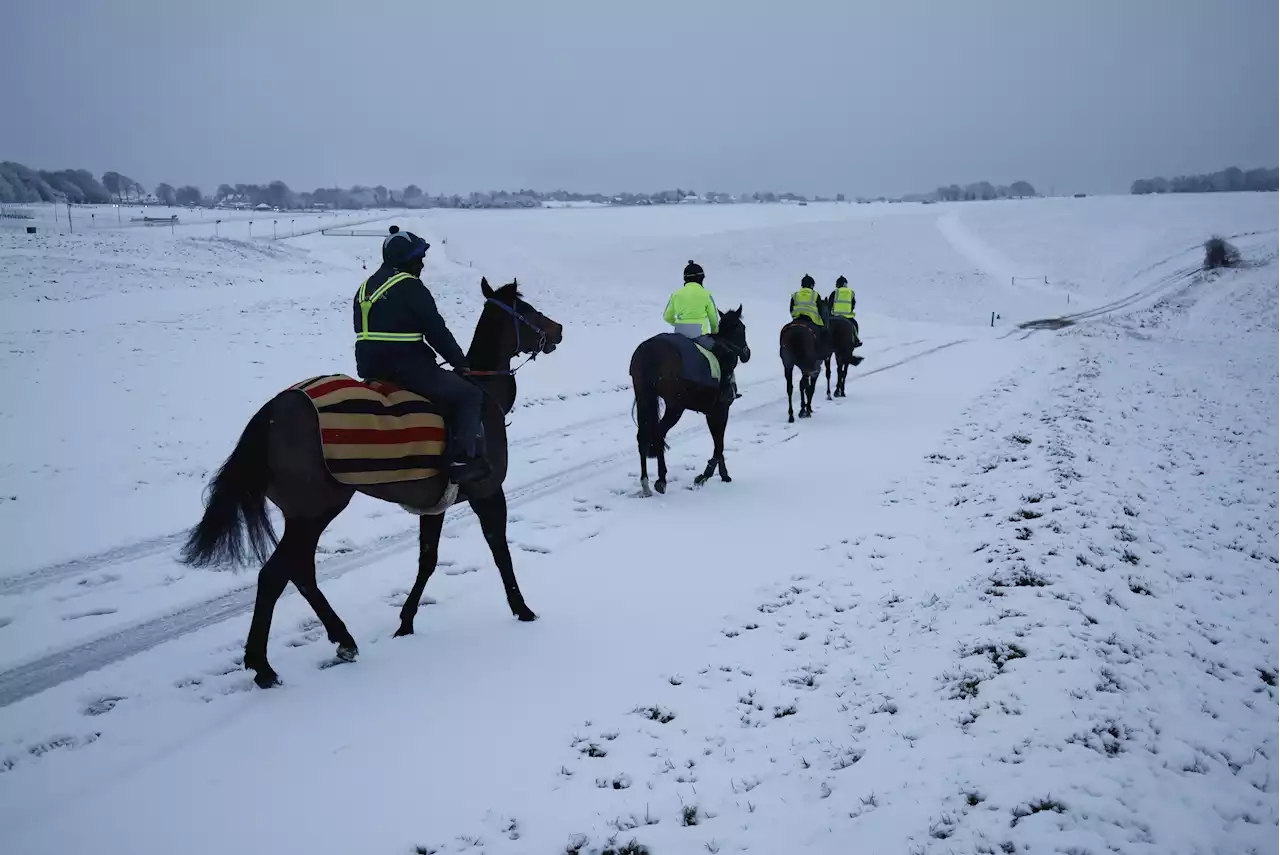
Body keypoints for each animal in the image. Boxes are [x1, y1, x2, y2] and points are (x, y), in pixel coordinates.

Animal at [177, 280, 563, 686]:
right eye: (528, 308)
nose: (557, 329)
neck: (482, 395)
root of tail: (273, 410)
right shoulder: (489, 492)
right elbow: (499, 550)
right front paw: (522, 608)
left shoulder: (434, 505)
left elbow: (427, 560)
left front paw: (406, 621)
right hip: (314, 511)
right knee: (275, 575)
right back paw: (264, 665)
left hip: (304, 514)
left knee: (299, 572)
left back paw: (340, 639)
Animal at [629, 305, 747, 494]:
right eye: (742, 328)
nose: (746, 353)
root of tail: (650, 352)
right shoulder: (721, 409)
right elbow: (719, 443)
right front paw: (707, 475)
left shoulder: (710, 412)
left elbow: (718, 442)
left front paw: (720, 474)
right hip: (675, 407)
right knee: (659, 434)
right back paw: (661, 480)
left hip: (644, 398)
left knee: (643, 437)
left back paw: (645, 483)